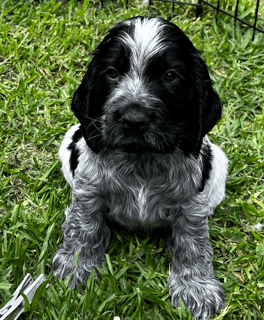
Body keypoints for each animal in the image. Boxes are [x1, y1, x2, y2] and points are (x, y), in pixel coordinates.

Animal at [52, 16, 228, 320]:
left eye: (170, 76)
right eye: (111, 73)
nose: (133, 118)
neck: (141, 158)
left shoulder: (192, 201)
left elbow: (193, 241)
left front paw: (196, 287)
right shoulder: (88, 188)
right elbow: (84, 225)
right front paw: (77, 266)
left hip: (217, 166)